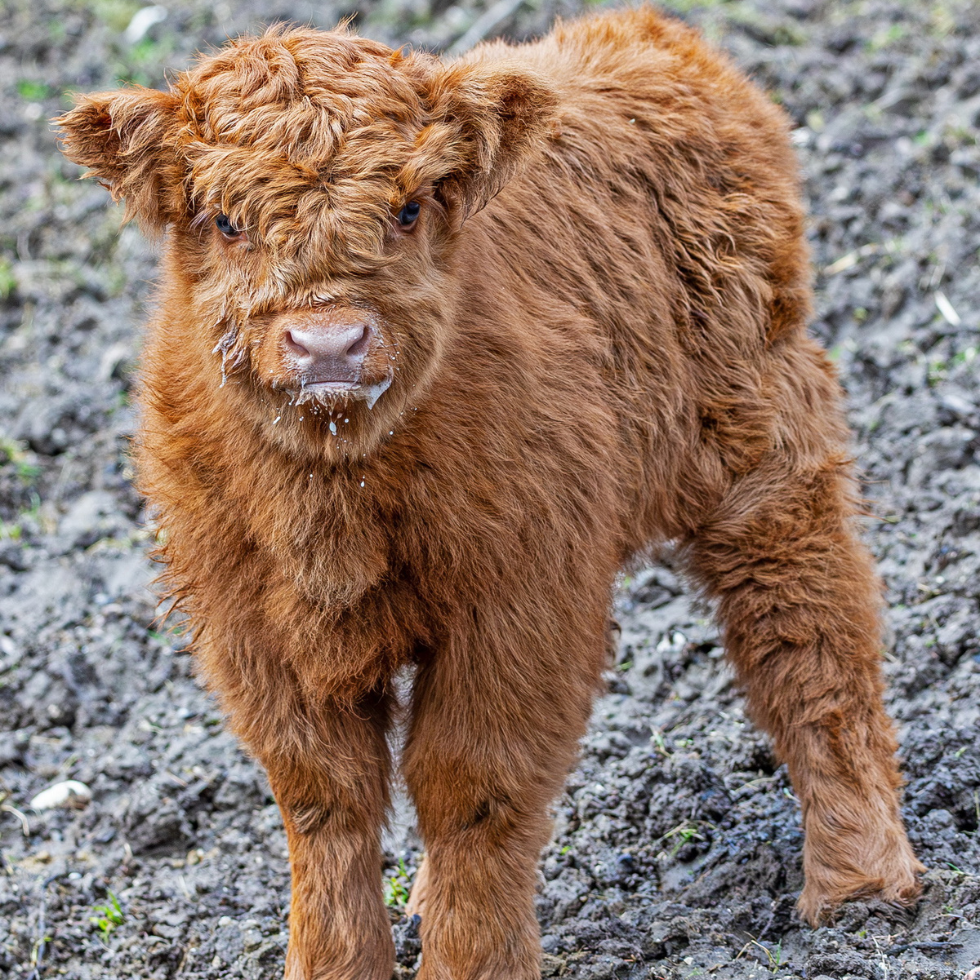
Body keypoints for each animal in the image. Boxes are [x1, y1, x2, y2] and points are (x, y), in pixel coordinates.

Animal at [57, 9, 924, 980]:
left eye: (407, 206)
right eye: (226, 219)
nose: (330, 343)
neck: (336, 492)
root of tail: (648, 37)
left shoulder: (522, 598)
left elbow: (473, 787)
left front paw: (472, 960)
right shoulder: (247, 619)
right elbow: (325, 797)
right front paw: (338, 963)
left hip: (765, 451)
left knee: (810, 635)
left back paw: (859, 881)